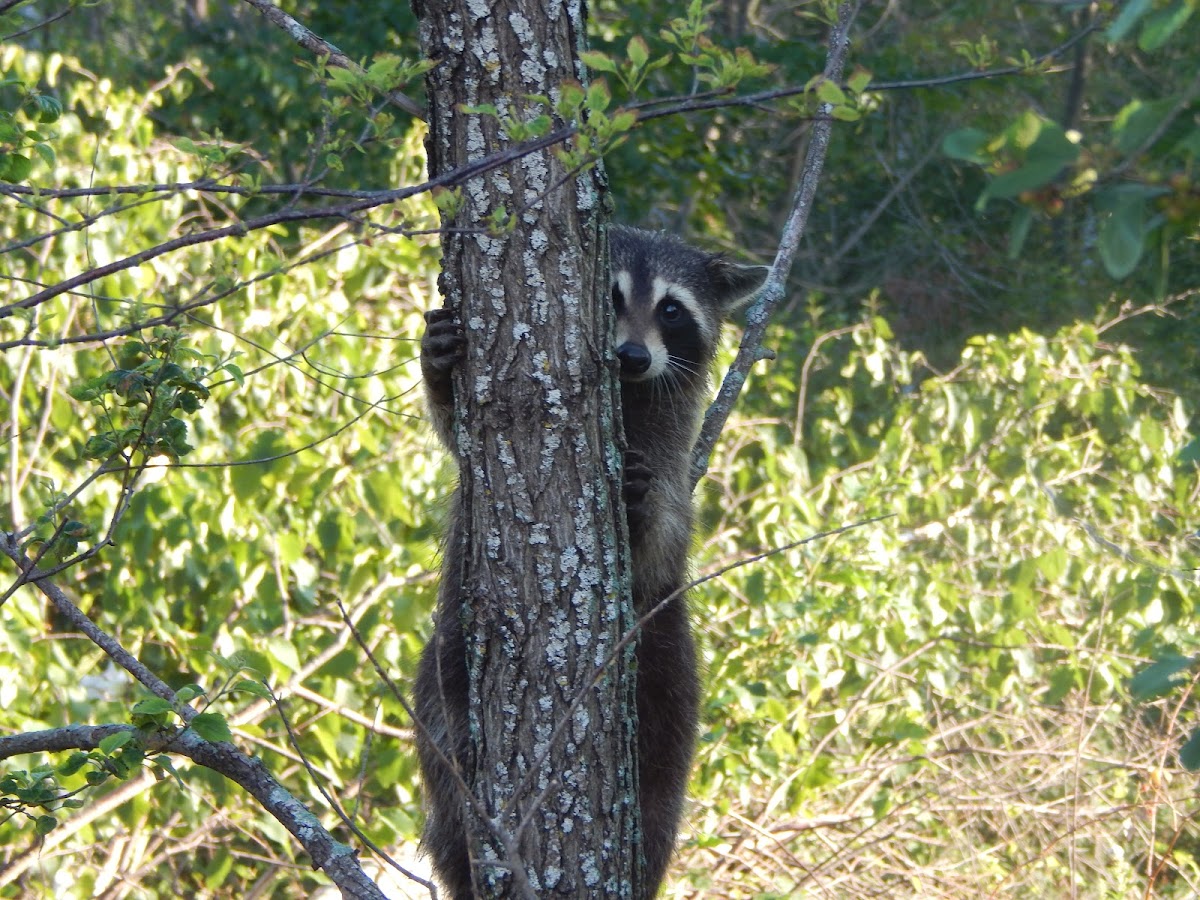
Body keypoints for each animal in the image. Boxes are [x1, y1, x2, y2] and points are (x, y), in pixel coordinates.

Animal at [412, 226, 768, 900]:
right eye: (612, 295)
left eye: (672, 310)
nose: (631, 356)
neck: (628, 392)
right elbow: (457, 441)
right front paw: (437, 367)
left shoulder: (670, 453)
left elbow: (666, 539)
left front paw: (642, 508)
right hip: (444, 668)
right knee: (446, 751)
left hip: (669, 677)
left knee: (660, 788)